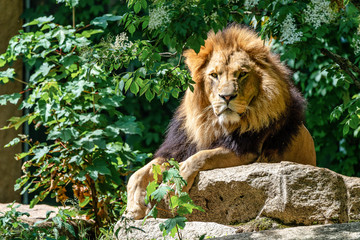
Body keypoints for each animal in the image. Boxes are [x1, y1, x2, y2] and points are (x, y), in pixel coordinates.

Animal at [126, 24, 316, 219]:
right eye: (214, 75)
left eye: (242, 74)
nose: (227, 96)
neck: (214, 124)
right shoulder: (177, 149)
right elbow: (139, 172)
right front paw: (134, 206)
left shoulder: (247, 151)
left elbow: (202, 156)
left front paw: (175, 185)